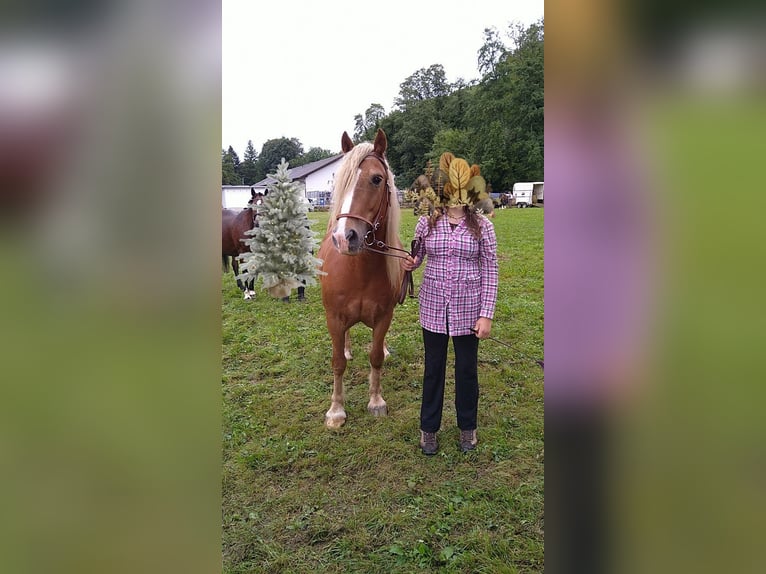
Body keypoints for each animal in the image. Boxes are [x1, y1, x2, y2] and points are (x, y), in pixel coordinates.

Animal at [316, 129, 408, 428]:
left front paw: (376, 401)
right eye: (341, 181)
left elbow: (376, 356)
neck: (359, 270)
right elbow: (337, 363)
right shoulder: (334, 318)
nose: (345, 237)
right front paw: (336, 411)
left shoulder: (384, 316)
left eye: (377, 179)